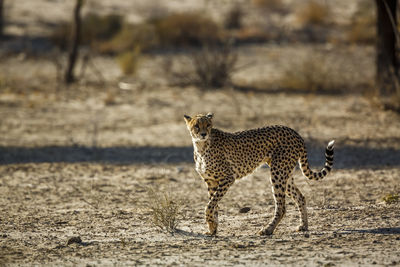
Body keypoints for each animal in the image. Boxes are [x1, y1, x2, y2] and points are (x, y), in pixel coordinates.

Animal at [184, 113, 334, 237]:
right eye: (196, 126)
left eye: (208, 125)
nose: (203, 134)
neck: (201, 147)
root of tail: (294, 132)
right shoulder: (211, 181)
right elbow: (213, 205)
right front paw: (212, 228)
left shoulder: (228, 178)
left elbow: (209, 205)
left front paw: (212, 225)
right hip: (285, 174)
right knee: (301, 197)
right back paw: (303, 226)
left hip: (278, 172)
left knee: (281, 207)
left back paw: (268, 229)